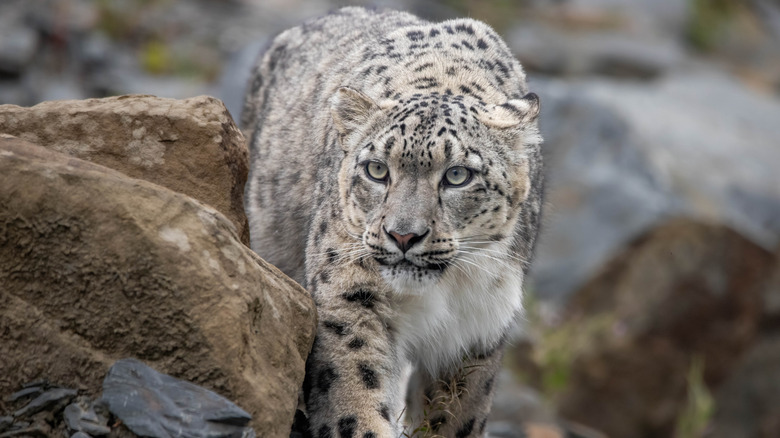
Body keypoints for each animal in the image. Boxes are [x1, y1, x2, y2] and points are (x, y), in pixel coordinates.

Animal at [241, 7, 543, 438]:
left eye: (457, 175)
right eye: (377, 169)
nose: (403, 235)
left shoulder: (477, 329)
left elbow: (455, 415)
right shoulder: (350, 292)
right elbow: (356, 391)